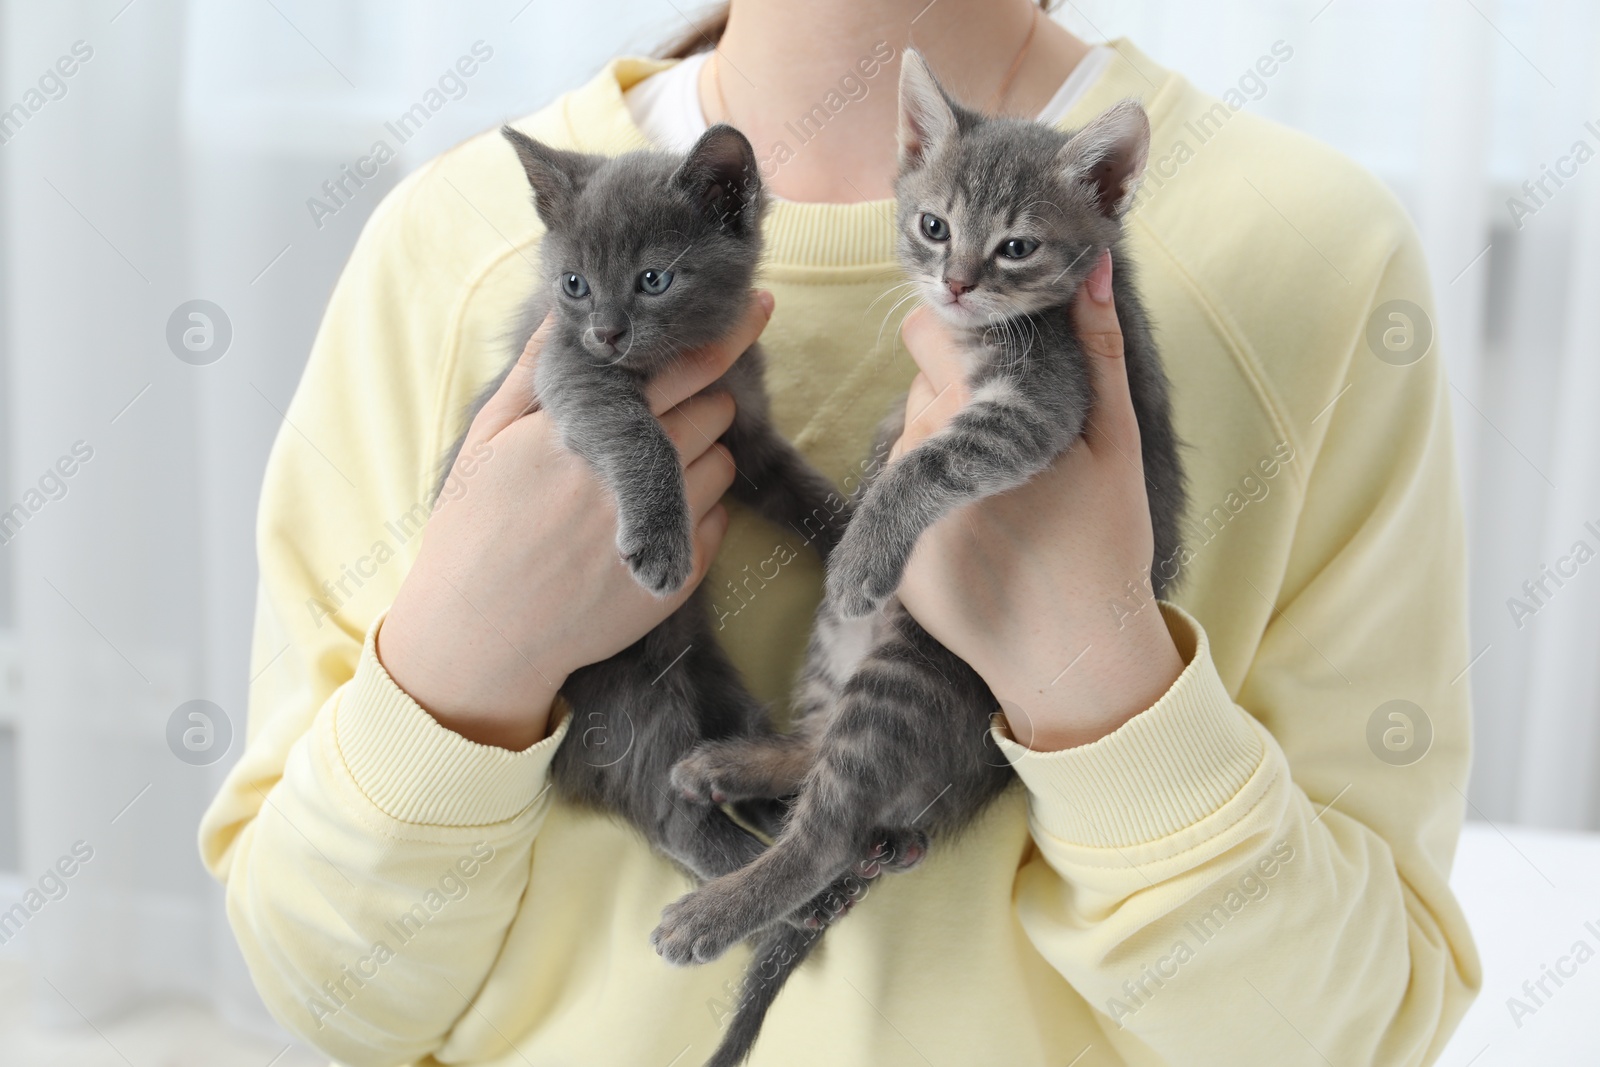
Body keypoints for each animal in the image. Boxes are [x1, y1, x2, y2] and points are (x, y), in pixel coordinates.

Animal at [438, 125, 915, 902]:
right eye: (573, 284)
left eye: (653, 280)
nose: (606, 331)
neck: (683, 361)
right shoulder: (566, 371)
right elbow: (637, 432)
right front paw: (660, 545)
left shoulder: (746, 435)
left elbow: (801, 490)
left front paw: (852, 541)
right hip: (624, 691)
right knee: (668, 808)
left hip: (707, 669)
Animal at [649, 51, 1190, 1067]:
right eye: (934, 224)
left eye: (1017, 246)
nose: (959, 283)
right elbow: (896, 438)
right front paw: (863, 492)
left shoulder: (1045, 403)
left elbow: (931, 458)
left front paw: (870, 535)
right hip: (837, 642)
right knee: (820, 753)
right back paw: (737, 764)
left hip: (913, 661)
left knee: (829, 830)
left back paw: (715, 910)